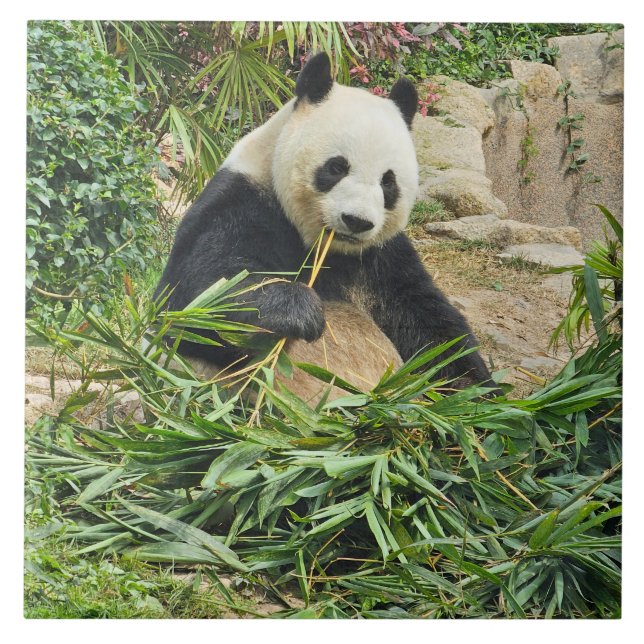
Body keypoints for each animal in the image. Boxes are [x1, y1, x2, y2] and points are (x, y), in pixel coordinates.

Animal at [154, 53, 495, 403]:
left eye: (388, 182)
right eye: (336, 167)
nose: (356, 221)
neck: (325, 247)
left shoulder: (384, 256)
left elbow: (428, 323)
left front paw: (475, 393)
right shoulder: (240, 201)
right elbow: (192, 299)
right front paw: (299, 311)